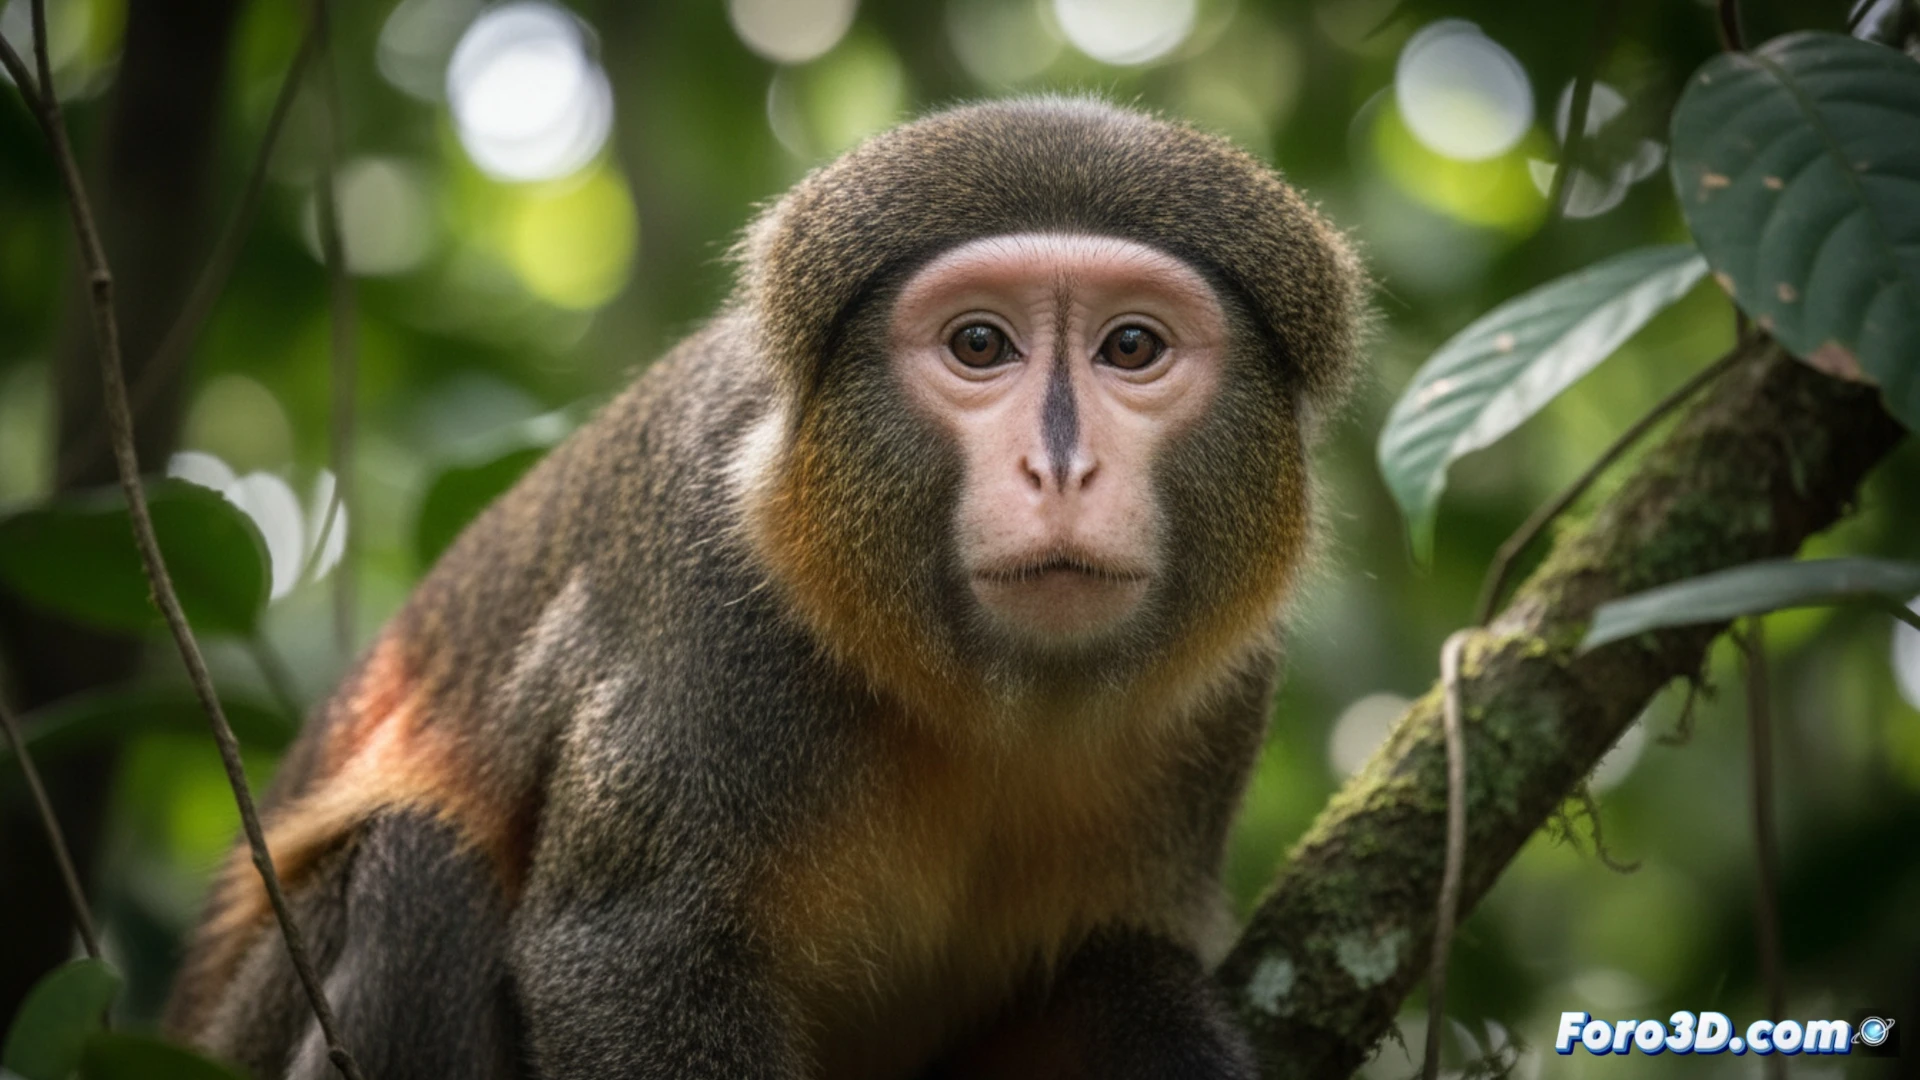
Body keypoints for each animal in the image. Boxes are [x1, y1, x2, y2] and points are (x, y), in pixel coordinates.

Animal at [163, 96, 1366, 1080]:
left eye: (1131, 347)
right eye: (982, 344)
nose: (1060, 467)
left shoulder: (1228, 695)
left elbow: (1126, 966)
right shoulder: (710, 604)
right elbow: (625, 962)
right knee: (420, 867)